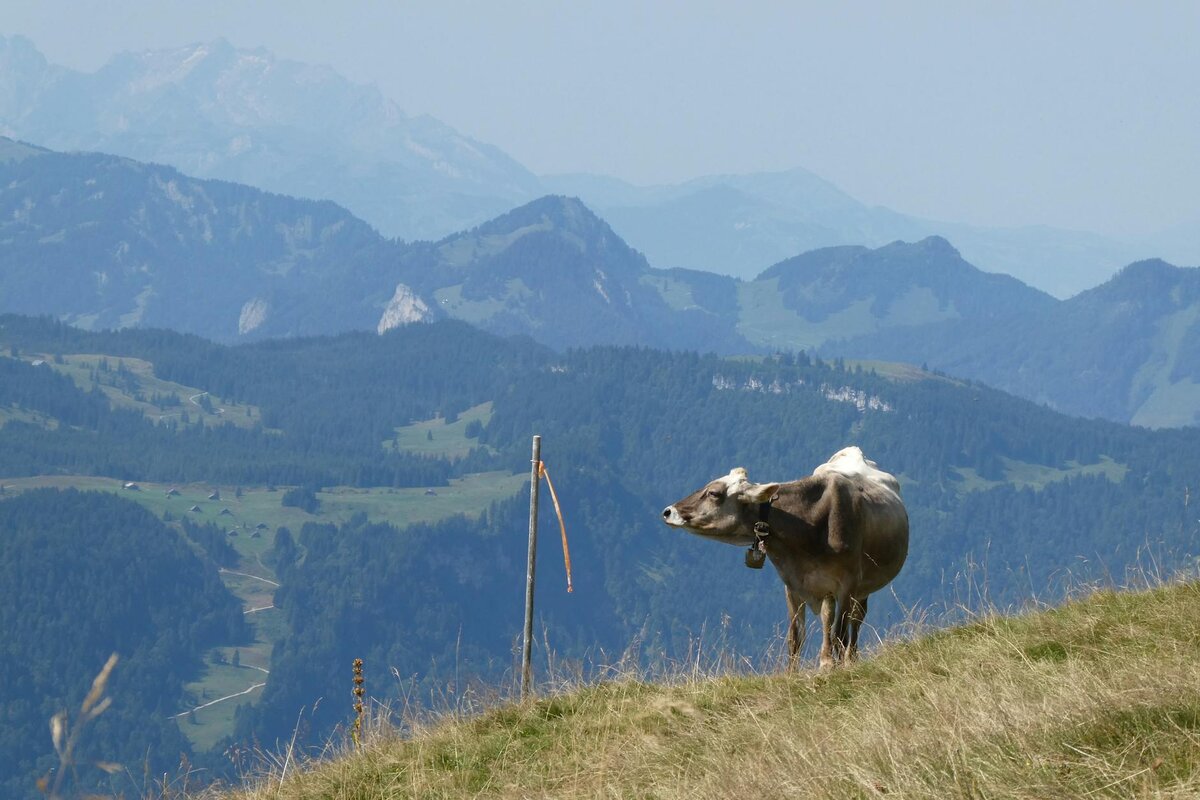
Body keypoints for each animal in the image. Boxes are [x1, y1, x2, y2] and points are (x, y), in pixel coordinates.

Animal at [661, 447, 908, 669]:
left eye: (713, 493)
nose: (668, 511)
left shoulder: (847, 584)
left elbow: (839, 632)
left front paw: (837, 667)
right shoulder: (793, 584)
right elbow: (796, 636)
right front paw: (794, 673)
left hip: (862, 587)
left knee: (854, 622)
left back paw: (847, 659)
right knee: (828, 617)